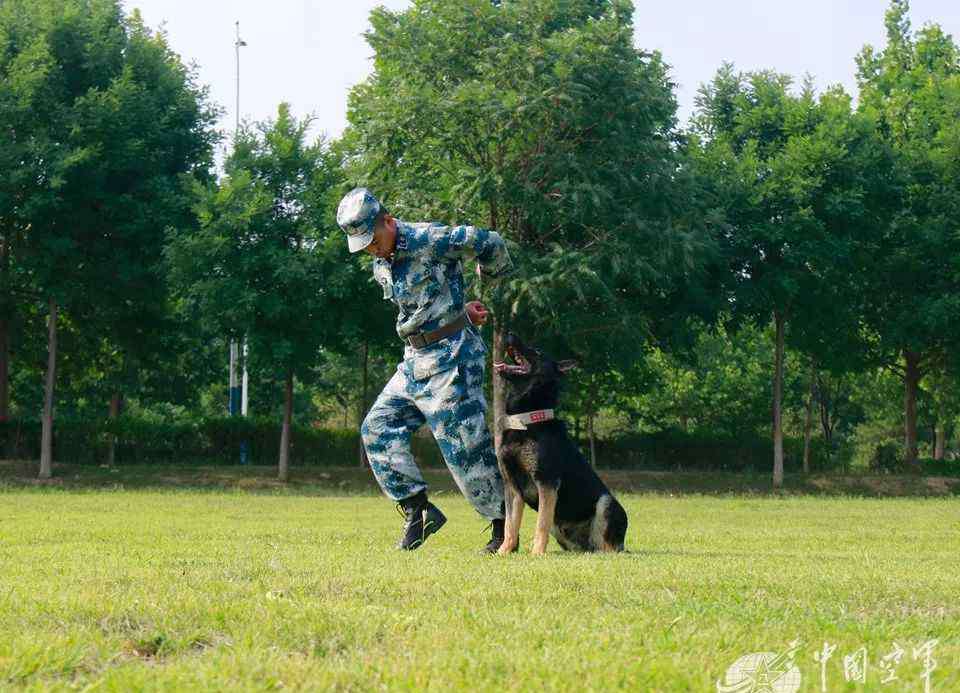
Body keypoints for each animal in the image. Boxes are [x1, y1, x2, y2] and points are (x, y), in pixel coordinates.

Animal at [492, 332, 628, 556]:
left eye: (537, 351)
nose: (509, 334)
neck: (527, 421)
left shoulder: (546, 483)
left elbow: (540, 524)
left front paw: (536, 554)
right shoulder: (512, 487)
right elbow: (510, 526)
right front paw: (503, 552)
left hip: (606, 502)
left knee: (607, 547)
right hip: (562, 530)